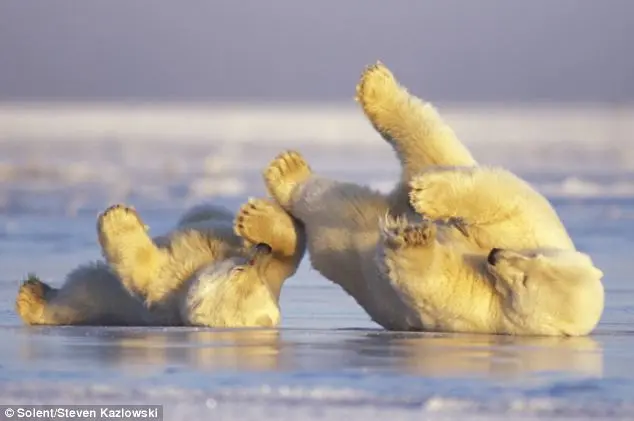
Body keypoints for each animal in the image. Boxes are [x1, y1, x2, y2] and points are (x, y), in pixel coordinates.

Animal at [16, 198, 304, 328]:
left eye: (238, 271)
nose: (262, 250)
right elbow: (291, 253)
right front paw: (260, 219)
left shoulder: (168, 284)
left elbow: (144, 270)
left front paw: (117, 217)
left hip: (101, 299)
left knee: (79, 294)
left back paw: (30, 295)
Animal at [260, 61, 604, 334]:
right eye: (535, 258)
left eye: (525, 283)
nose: (496, 254)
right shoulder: (536, 229)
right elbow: (504, 196)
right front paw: (427, 199)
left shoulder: (484, 312)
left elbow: (434, 283)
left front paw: (411, 237)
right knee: (432, 147)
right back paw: (375, 89)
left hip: (342, 247)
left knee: (337, 206)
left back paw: (283, 181)